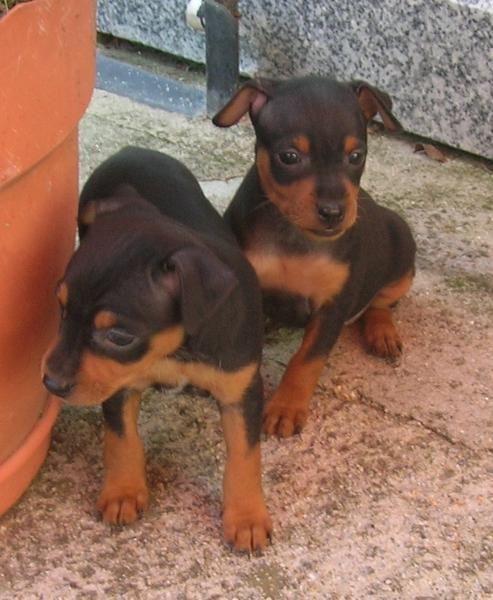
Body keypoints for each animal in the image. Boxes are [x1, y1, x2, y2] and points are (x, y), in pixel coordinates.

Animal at [41, 145, 272, 552]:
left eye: (119, 336)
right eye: (62, 308)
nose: (51, 384)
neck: (176, 348)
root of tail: (131, 149)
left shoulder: (241, 389)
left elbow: (245, 455)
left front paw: (246, 517)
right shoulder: (118, 382)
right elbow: (121, 437)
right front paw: (123, 490)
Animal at [213, 77, 418, 438]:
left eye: (356, 155)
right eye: (289, 156)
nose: (334, 212)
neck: (294, 234)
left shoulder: (332, 306)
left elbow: (306, 360)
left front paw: (286, 407)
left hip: (402, 258)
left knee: (380, 304)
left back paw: (382, 333)